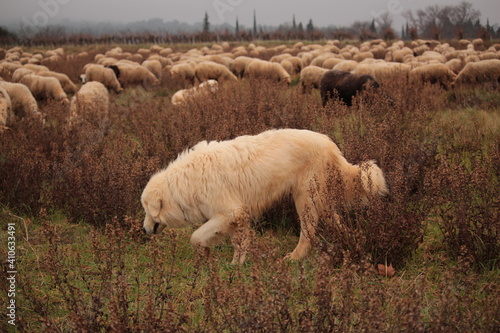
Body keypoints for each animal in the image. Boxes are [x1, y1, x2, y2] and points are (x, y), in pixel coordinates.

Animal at [141, 128, 386, 264]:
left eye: (146, 211)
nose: (144, 229)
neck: (181, 184)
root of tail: (331, 145)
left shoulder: (230, 212)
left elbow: (196, 236)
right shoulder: (237, 217)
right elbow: (238, 241)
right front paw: (235, 264)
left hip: (305, 199)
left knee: (308, 232)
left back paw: (295, 257)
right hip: (320, 201)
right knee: (338, 222)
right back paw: (351, 244)